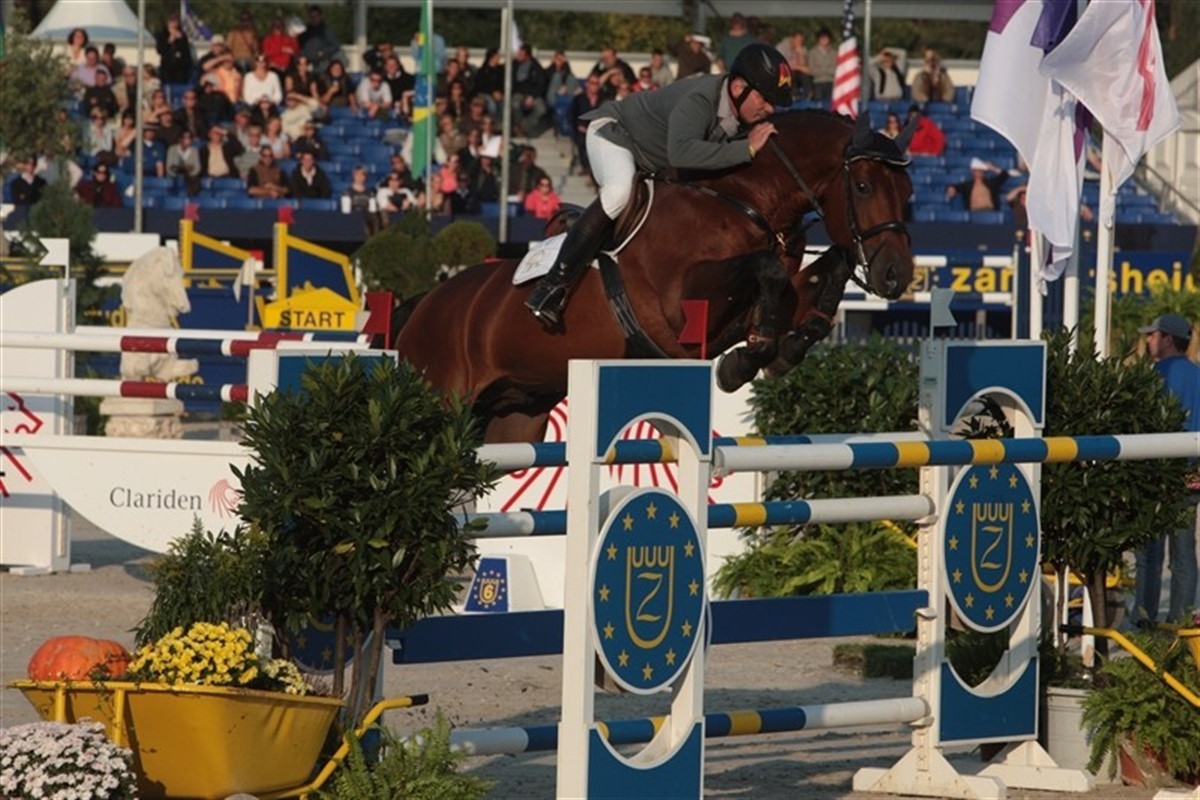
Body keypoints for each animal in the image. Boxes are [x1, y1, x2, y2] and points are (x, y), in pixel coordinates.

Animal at [394, 109, 916, 444]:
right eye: (863, 186)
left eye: (908, 190)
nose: (897, 276)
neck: (743, 199)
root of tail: (422, 305)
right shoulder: (680, 305)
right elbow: (765, 269)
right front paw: (742, 364)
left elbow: (826, 273)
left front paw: (788, 347)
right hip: (441, 400)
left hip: (515, 417)